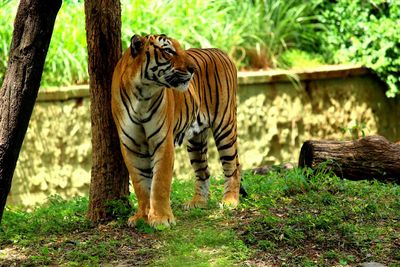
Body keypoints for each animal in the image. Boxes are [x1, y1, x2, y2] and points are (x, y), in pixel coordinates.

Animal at [110, 34, 241, 228]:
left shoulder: (162, 141)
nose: (193, 69)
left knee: (233, 166)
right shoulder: (131, 145)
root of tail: (220, 51)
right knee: (203, 171)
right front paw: (142, 216)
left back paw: (230, 201)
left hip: (225, 126)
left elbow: (159, 183)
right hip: (196, 141)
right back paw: (198, 202)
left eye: (180, 49)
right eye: (169, 51)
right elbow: (140, 183)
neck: (142, 94)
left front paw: (161, 219)